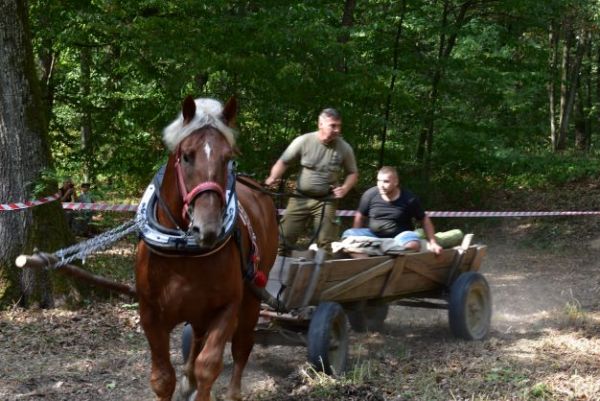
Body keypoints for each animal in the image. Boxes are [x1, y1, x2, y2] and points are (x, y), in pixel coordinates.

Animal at [135, 96, 278, 400]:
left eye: (228, 157)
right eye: (187, 156)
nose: (208, 228)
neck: (183, 252)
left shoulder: (227, 307)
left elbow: (209, 366)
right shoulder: (150, 314)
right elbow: (163, 377)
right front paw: (183, 380)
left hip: (252, 296)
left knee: (242, 345)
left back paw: (233, 392)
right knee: (198, 338)